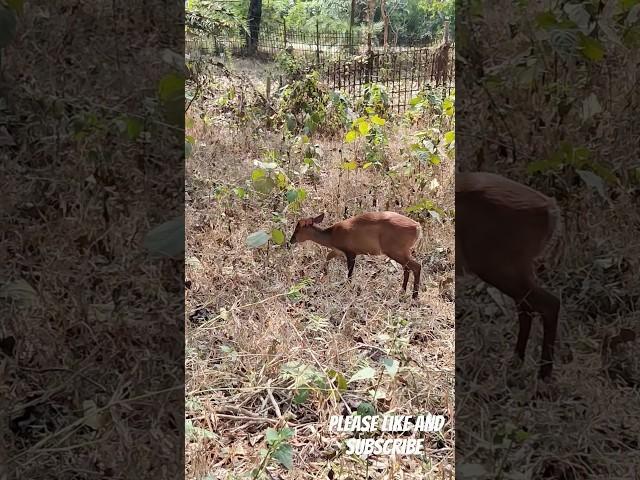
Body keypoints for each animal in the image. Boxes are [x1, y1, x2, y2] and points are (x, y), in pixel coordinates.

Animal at [288, 212, 422, 298]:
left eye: (298, 229)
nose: (291, 241)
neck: (331, 236)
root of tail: (417, 226)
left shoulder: (351, 252)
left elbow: (349, 273)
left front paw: (347, 287)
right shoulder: (338, 250)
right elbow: (327, 257)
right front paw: (324, 273)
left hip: (395, 250)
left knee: (416, 266)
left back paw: (414, 296)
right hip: (402, 251)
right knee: (407, 268)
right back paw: (403, 291)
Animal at [456, 171, 564, 380]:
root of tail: (550, 208)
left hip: (497, 265)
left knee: (549, 304)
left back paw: (543, 375)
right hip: (514, 268)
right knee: (528, 308)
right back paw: (516, 362)